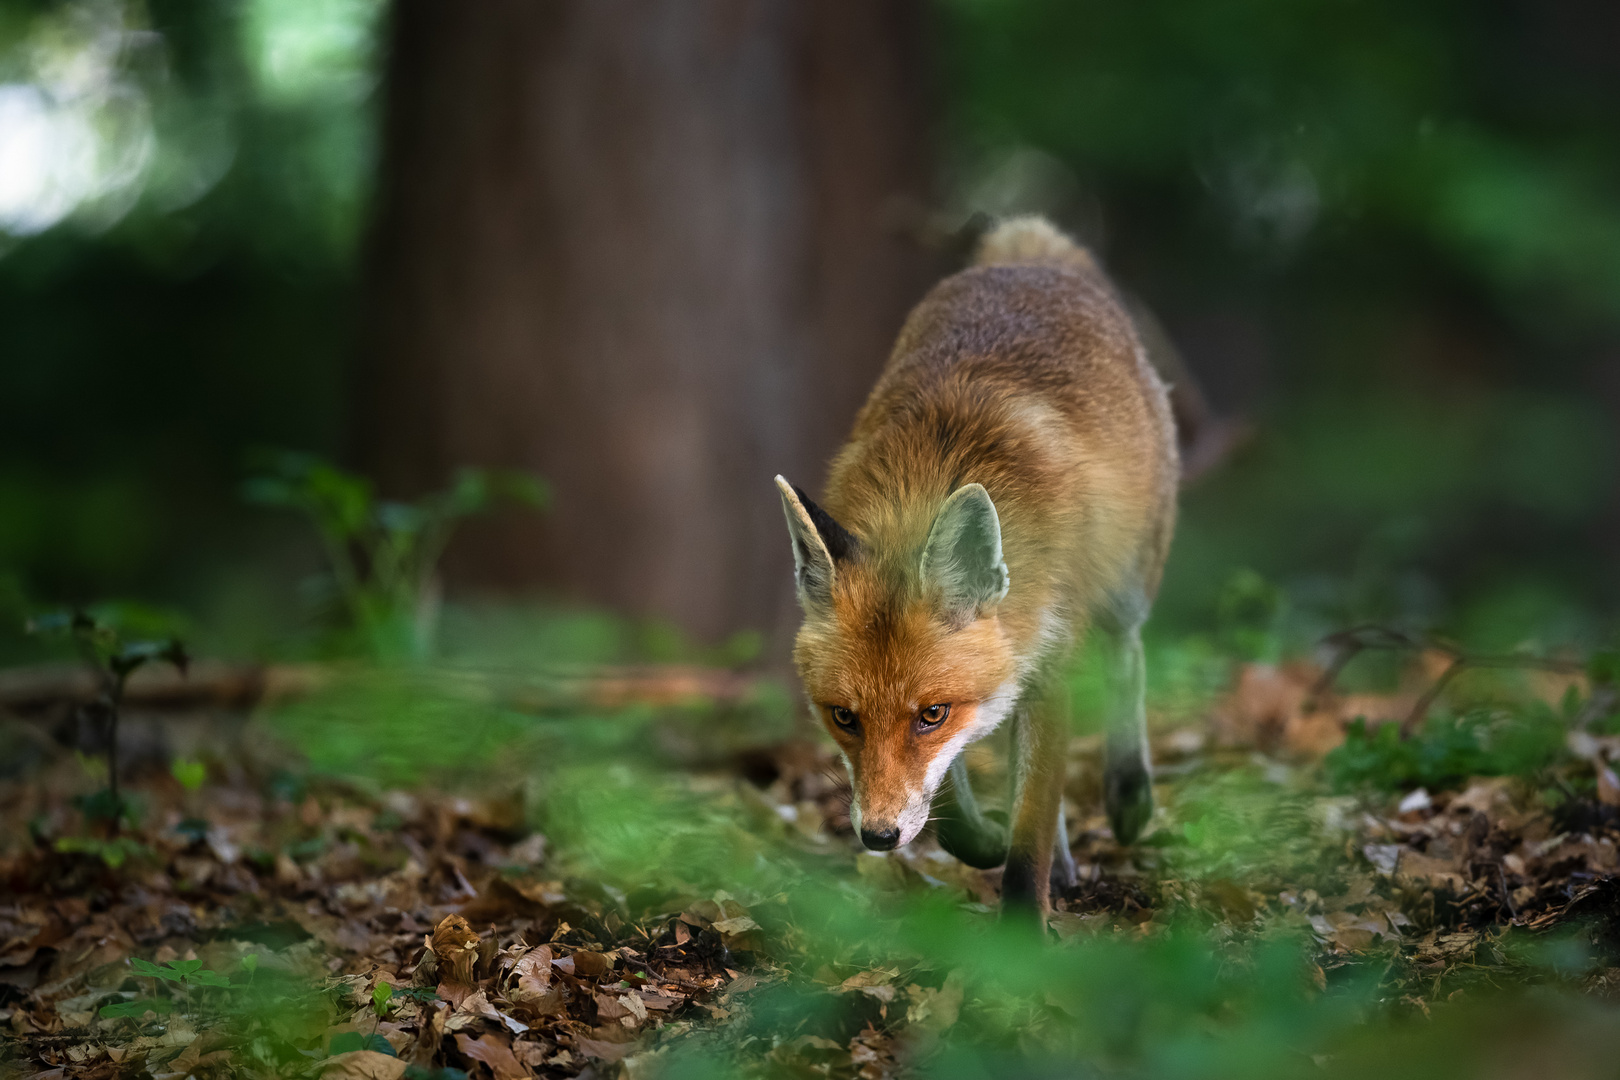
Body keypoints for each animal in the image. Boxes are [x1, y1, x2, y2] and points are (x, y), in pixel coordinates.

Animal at [774, 215, 1179, 919]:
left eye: (929, 715)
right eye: (844, 718)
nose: (878, 837)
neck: (934, 469)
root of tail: (1026, 256)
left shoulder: (1047, 664)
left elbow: (1031, 829)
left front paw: (1020, 927)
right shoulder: (985, 684)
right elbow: (961, 811)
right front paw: (985, 840)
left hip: (1125, 583)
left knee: (1127, 656)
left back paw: (1129, 792)